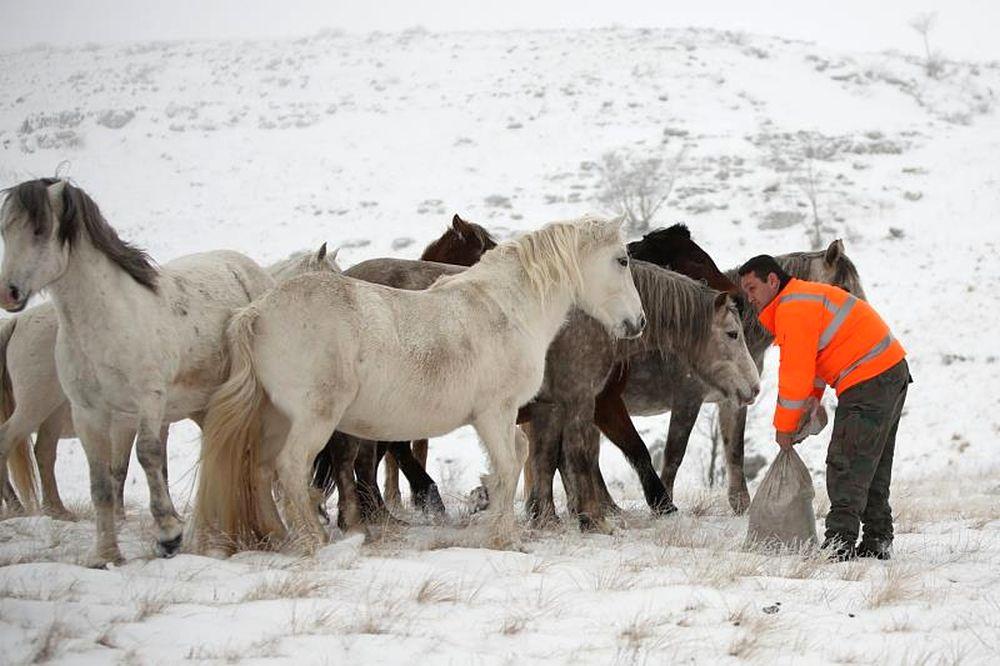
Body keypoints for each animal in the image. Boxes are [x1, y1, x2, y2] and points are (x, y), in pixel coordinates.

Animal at [0, 178, 278, 564]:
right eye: (5, 229)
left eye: (40, 230)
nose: (9, 293)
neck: (107, 320)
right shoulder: (89, 414)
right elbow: (101, 481)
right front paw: (105, 554)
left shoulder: (148, 401)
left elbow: (147, 455)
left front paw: (169, 535)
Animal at [0, 243, 340, 520]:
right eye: (333, 276)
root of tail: (17, 322)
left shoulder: (156, 418)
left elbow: (146, 465)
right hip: (35, 409)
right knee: (11, 441)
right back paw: (18, 507)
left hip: (51, 420)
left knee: (44, 454)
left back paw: (55, 510)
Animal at [193, 214, 648, 548]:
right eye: (622, 260)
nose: (638, 322)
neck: (504, 308)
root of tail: (256, 313)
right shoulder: (496, 412)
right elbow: (512, 460)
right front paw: (505, 537)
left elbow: (517, 461)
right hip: (313, 420)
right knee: (291, 468)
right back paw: (316, 540)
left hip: (273, 419)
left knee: (261, 470)